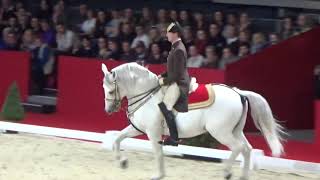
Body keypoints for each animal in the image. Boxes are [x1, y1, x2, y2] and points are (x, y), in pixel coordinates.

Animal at [101, 62, 284, 179]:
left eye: (110, 91)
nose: (108, 110)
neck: (148, 95)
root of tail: (238, 92)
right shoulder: (137, 128)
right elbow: (117, 139)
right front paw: (123, 162)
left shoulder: (153, 132)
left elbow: (158, 153)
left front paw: (158, 175)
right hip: (235, 131)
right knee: (247, 149)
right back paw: (243, 176)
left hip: (220, 132)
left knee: (238, 148)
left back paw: (227, 172)